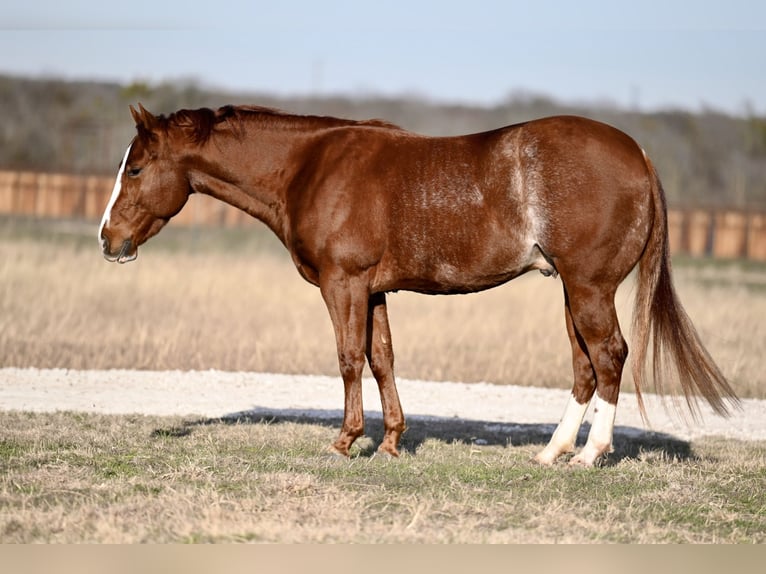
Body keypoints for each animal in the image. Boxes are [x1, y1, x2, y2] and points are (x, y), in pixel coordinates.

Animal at [99, 103, 740, 468]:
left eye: (136, 168)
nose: (108, 239)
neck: (310, 167)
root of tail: (639, 154)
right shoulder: (374, 290)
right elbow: (381, 358)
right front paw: (389, 443)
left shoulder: (343, 285)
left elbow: (348, 358)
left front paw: (345, 442)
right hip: (573, 292)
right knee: (586, 367)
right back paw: (552, 451)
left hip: (589, 289)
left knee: (609, 357)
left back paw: (589, 456)